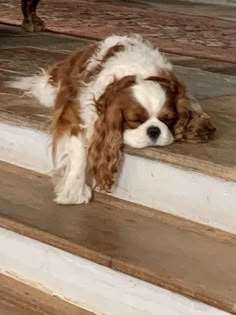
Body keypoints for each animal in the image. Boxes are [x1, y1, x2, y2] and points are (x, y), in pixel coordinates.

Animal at [7, 34, 216, 205]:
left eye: (168, 119)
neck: (138, 73)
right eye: (135, 120)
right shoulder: (74, 114)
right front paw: (74, 192)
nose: (154, 131)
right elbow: (78, 150)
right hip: (49, 91)